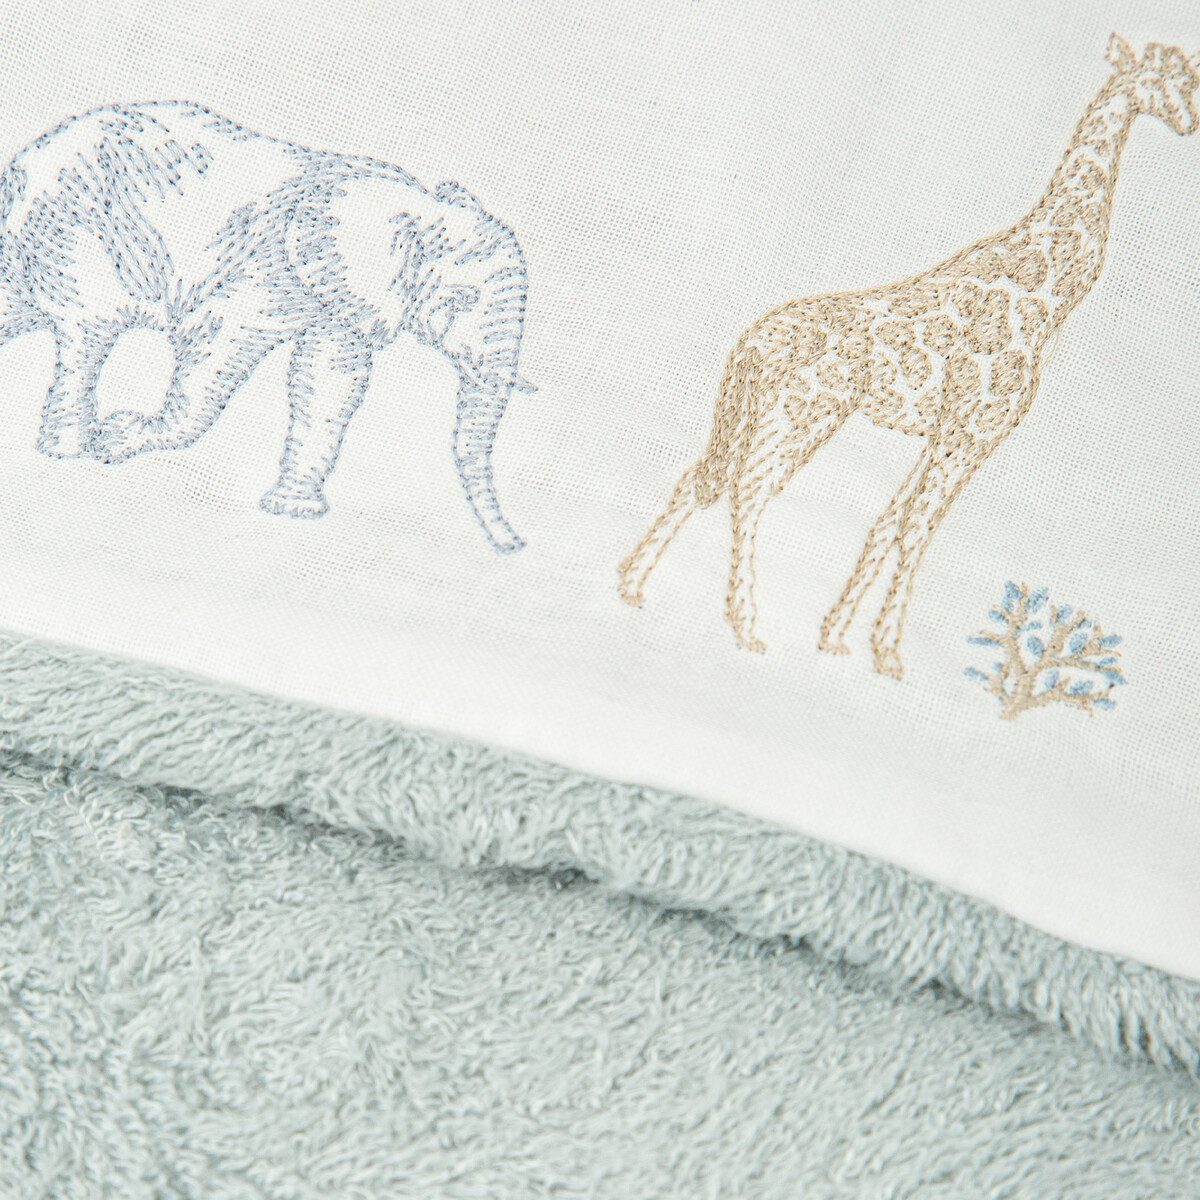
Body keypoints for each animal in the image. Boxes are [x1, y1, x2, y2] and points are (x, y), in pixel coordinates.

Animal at [0, 101, 533, 551]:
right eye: (462, 301)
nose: (510, 544)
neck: (409, 199)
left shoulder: (336, 302)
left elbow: (330, 381)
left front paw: (292, 511)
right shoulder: (267, 266)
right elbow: (217, 344)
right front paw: (119, 436)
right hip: (78, 233)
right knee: (90, 330)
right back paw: (70, 452)